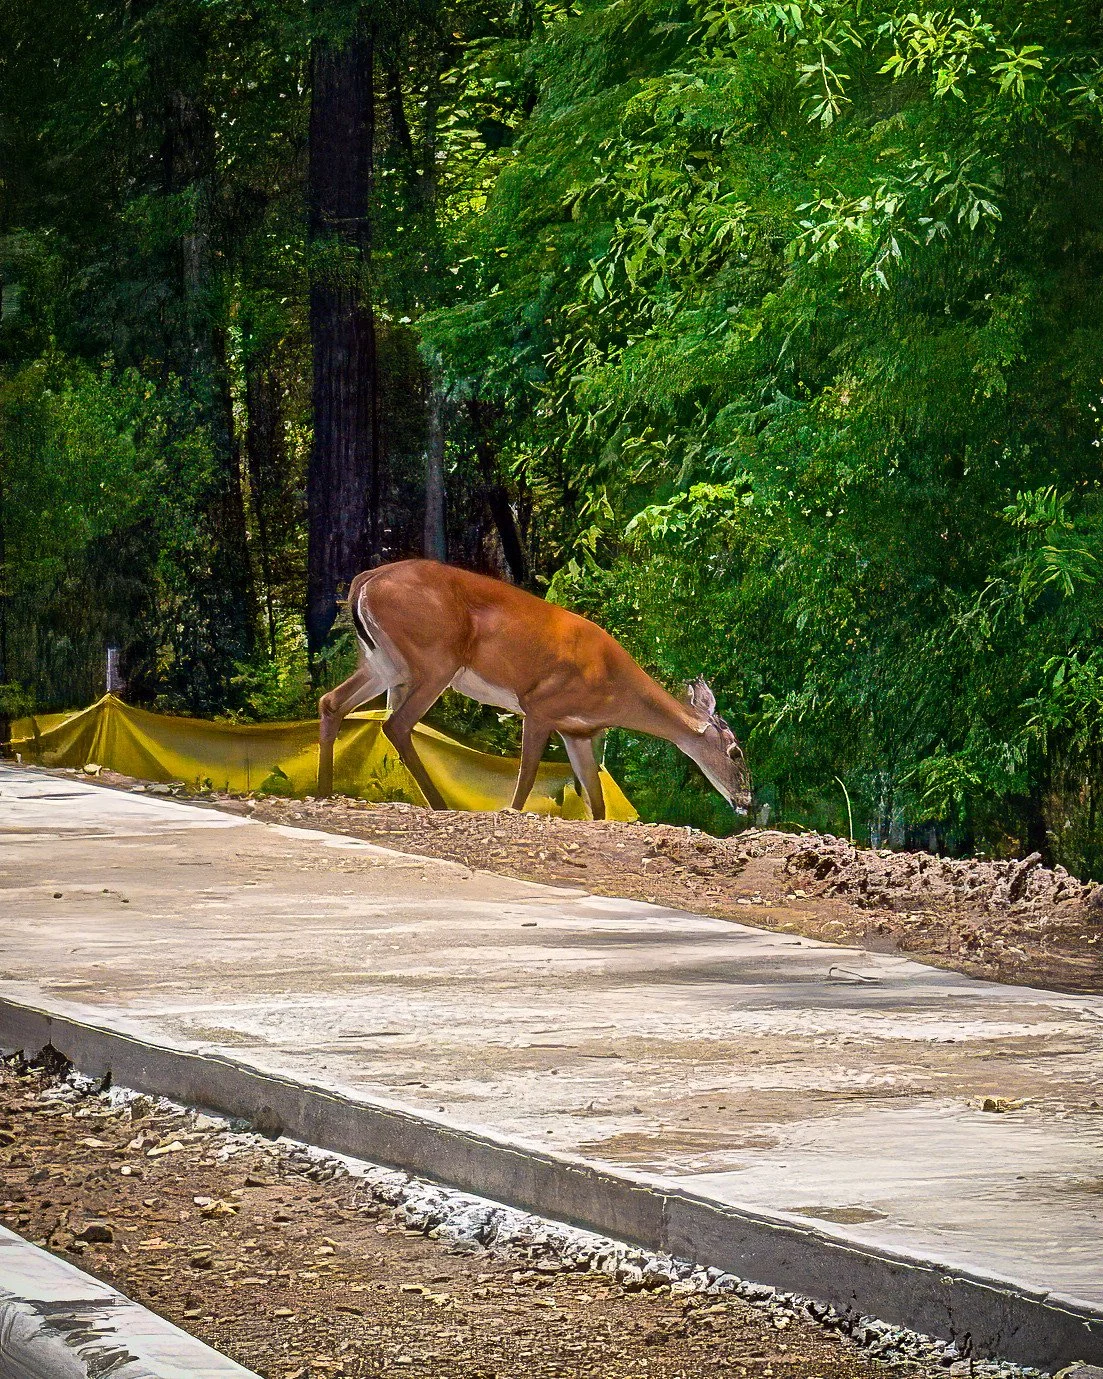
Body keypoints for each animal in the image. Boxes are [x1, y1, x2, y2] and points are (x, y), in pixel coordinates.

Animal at [317, 559, 752, 820]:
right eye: (736, 751)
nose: (747, 801)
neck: (613, 687)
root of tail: (365, 580)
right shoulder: (540, 706)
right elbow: (526, 774)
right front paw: (511, 812)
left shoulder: (579, 731)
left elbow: (596, 796)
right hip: (433, 661)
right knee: (396, 724)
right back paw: (439, 805)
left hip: (382, 663)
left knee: (332, 702)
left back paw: (323, 792)